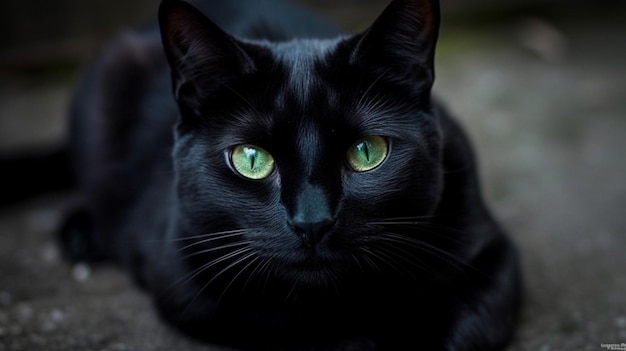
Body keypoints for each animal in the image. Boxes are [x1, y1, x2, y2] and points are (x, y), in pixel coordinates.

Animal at [42, 0, 520, 350]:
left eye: (367, 152)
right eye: (251, 159)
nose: (312, 222)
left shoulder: (493, 254)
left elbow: (466, 330)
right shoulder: (188, 287)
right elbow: (302, 326)